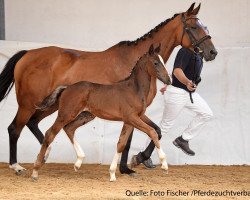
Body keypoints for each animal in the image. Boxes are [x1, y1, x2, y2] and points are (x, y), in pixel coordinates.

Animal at [31, 45, 172, 181]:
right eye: (155, 63)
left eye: (163, 61)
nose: (169, 80)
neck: (134, 89)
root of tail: (66, 87)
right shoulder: (131, 117)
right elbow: (152, 132)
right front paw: (164, 165)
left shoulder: (132, 119)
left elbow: (121, 144)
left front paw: (112, 174)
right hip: (66, 114)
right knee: (50, 133)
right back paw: (35, 171)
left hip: (86, 115)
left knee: (69, 128)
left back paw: (78, 162)